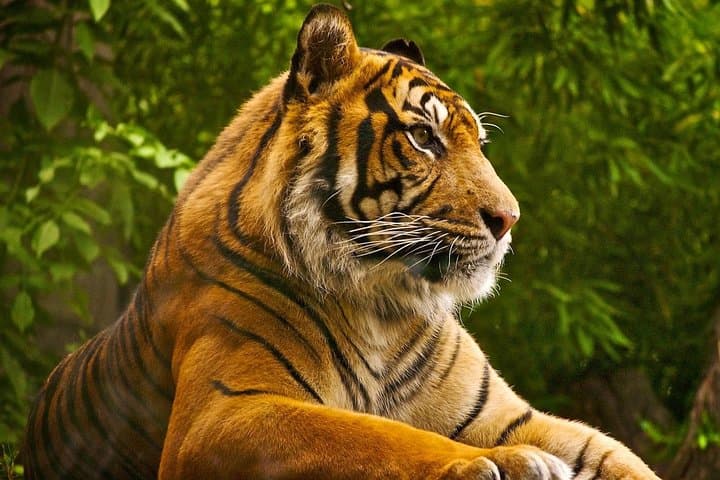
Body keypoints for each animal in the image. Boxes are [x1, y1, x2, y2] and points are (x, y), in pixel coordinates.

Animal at [22, 4, 662, 479]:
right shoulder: (223, 411)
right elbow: (377, 435)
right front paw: (500, 462)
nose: (509, 218)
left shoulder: (509, 414)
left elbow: (618, 455)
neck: (383, 306)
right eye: (424, 138)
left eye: (478, 143)